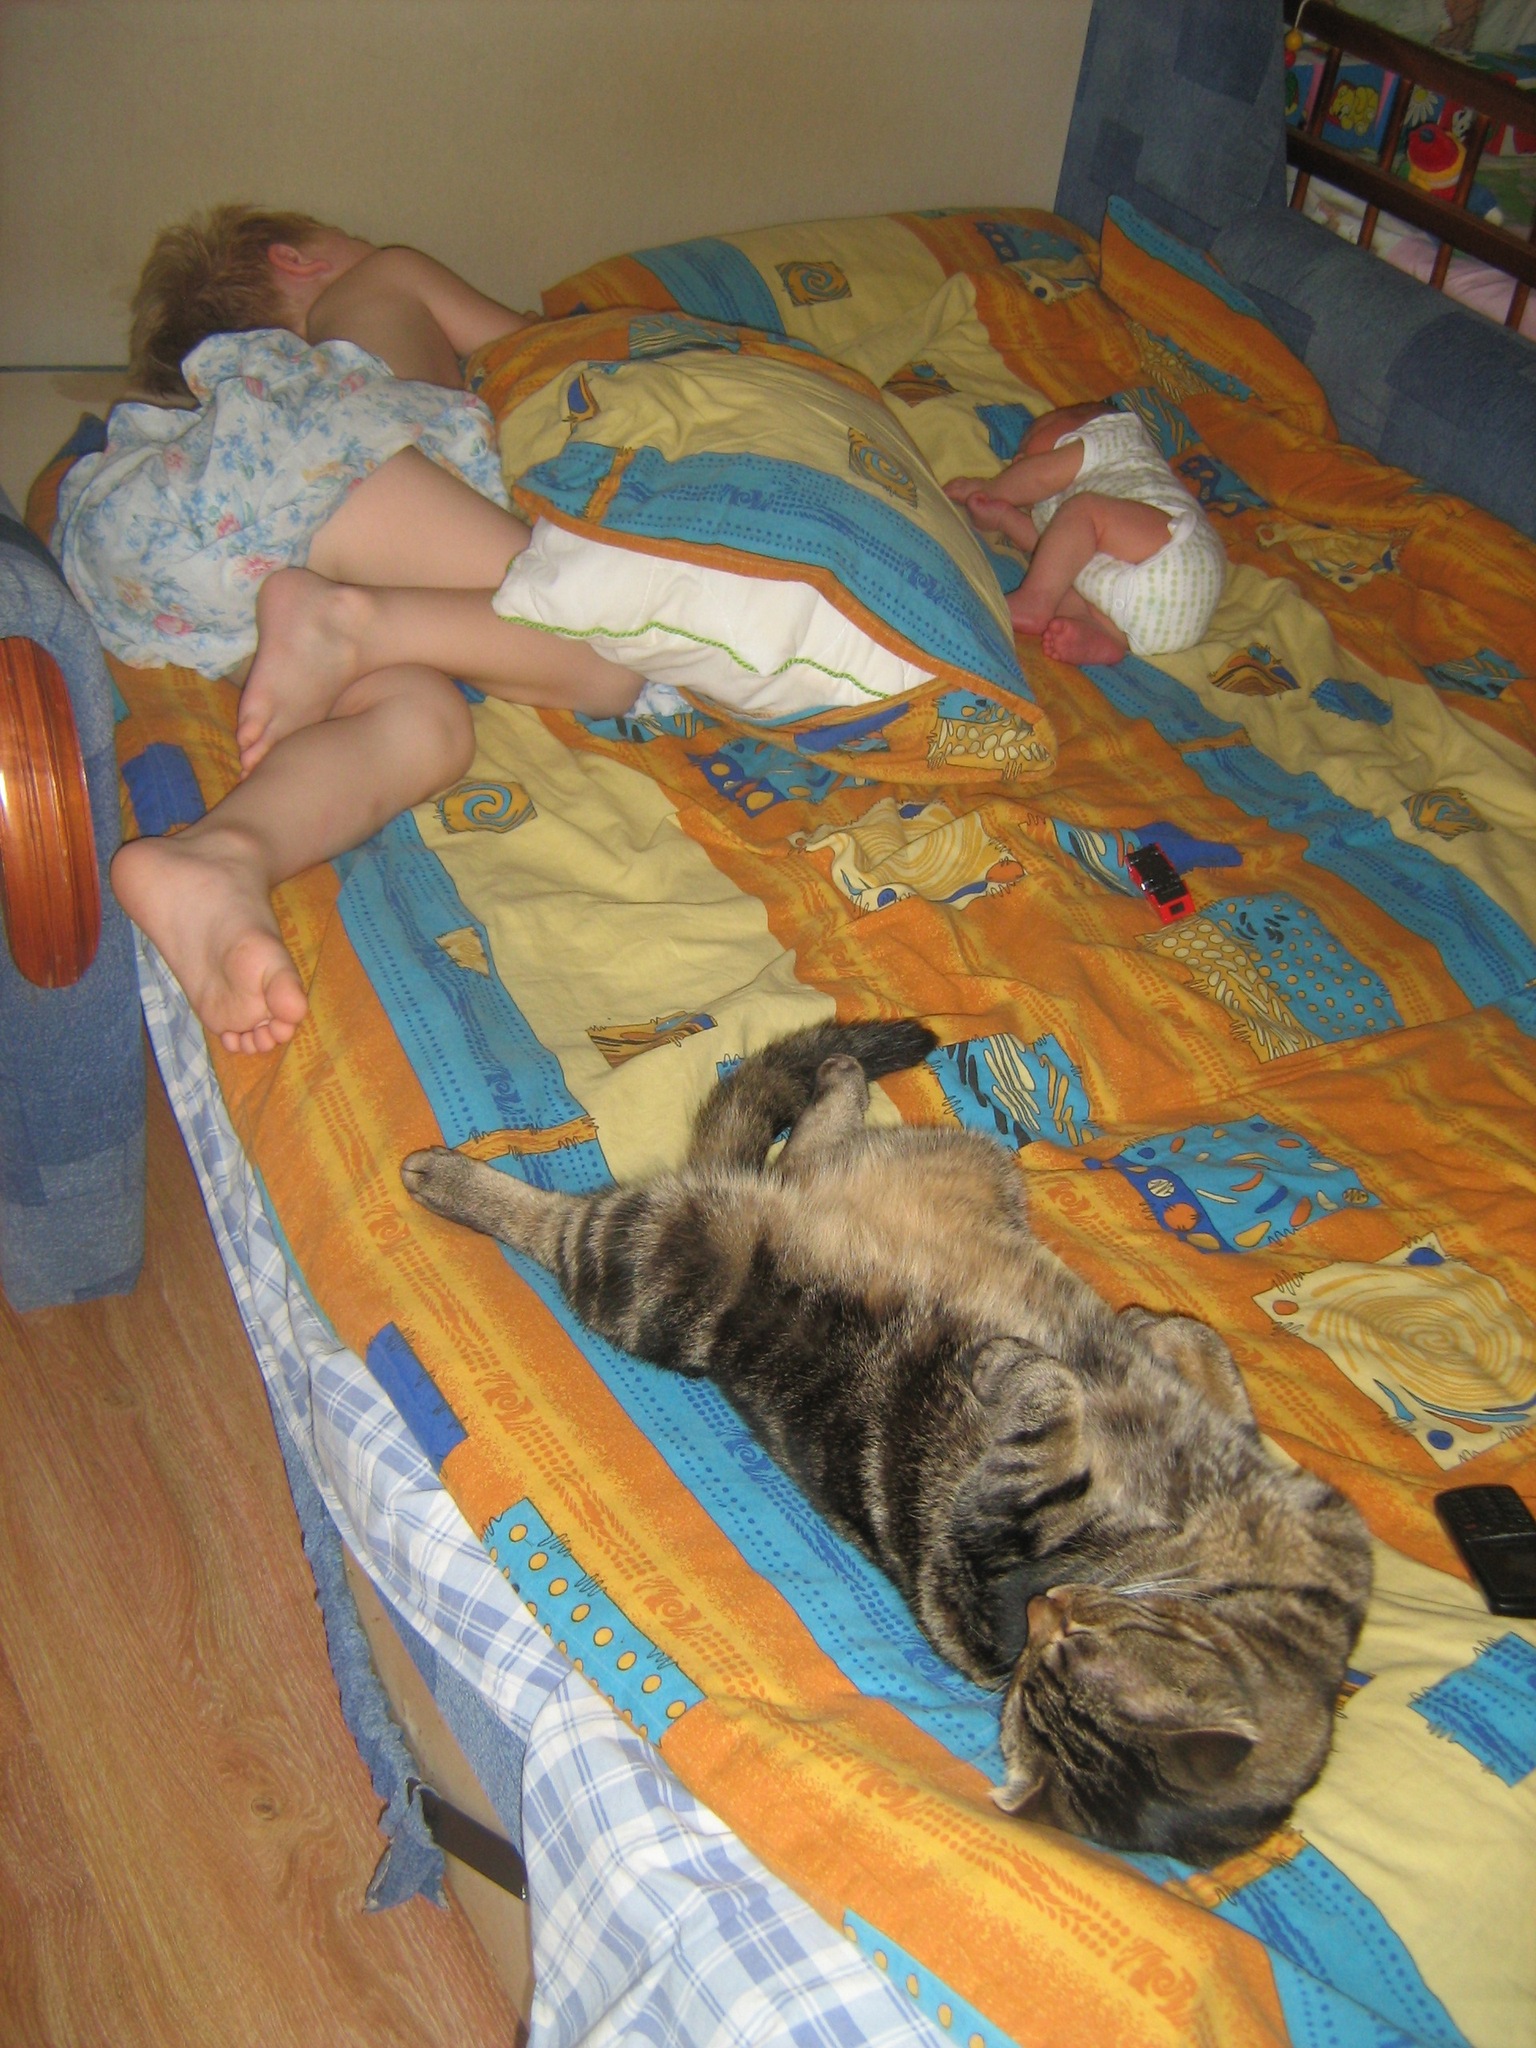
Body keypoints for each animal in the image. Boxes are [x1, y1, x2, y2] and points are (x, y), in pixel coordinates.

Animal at [402, 1018, 1372, 1862]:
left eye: (1057, 1654)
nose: (1044, 1611)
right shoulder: (1010, 1547)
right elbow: (1196, 1370)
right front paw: (1148, 1350)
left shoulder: (983, 1571)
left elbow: (1086, 1409)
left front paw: (1071, 1365)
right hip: (780, 1218)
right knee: (682, 1181)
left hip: (662, 1255)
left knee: (596, 1217)